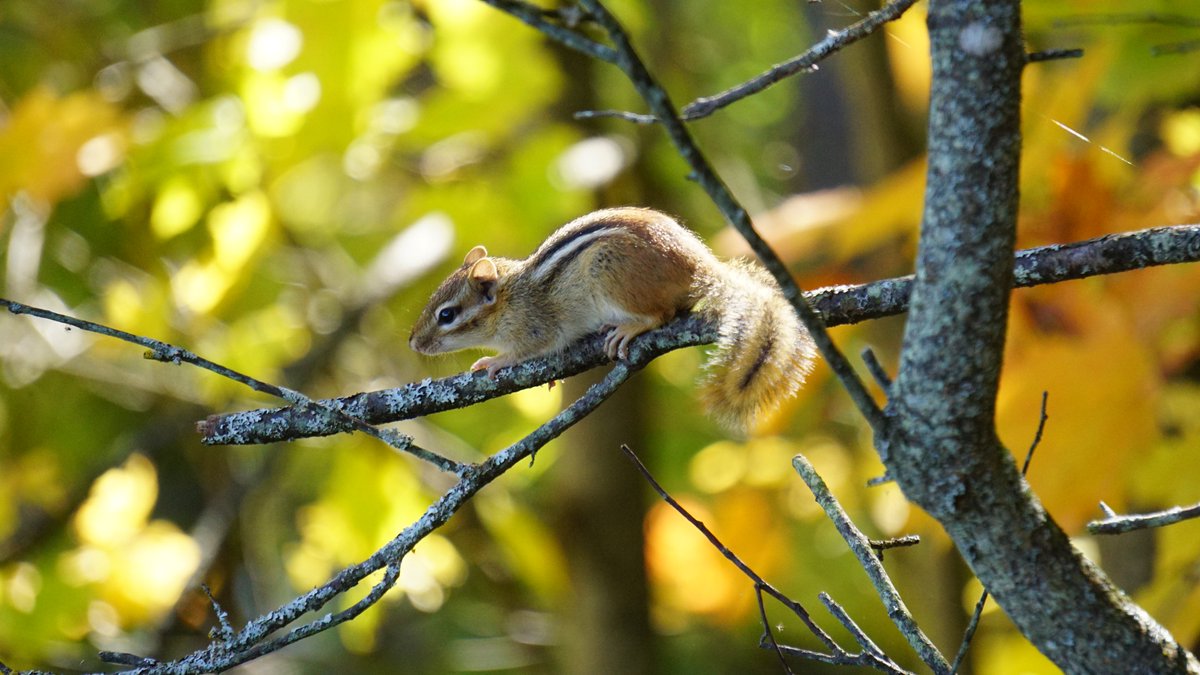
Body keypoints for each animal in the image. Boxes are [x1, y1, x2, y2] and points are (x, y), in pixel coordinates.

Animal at [409, 207, 815, 432]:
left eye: (447, 314)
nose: (413, 342)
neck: (511, 297)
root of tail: (701, 269)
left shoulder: (535, 325)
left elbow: (529, 348)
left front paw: (494, 361)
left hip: (612, 272)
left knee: (662, 314)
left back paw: (628, 328)